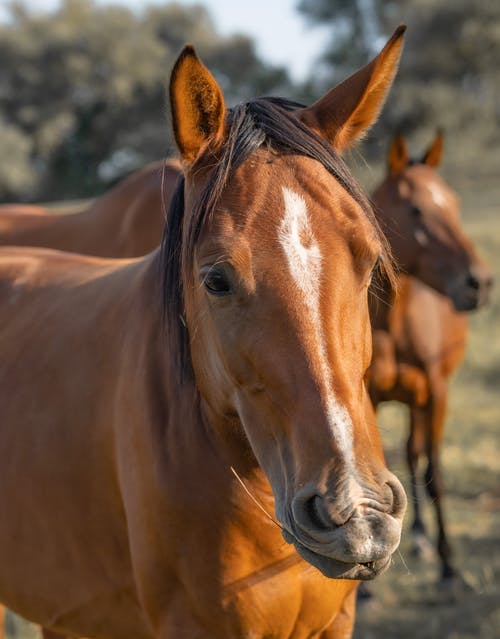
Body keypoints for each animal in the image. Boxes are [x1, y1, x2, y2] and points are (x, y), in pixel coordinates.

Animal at [368, 132, 492, 584]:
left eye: (453, 203)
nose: (479, 282)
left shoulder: (436, 393)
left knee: (415, 452)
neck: (391, 326)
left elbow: (434, 475)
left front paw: (449, 565)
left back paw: (422, 538)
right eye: (417, 209)